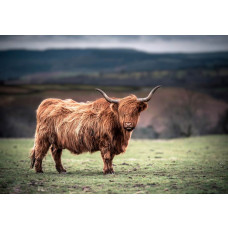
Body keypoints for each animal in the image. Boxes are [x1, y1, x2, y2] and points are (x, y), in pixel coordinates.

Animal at [30, 86, 160, 174]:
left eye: (135, 110)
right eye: (121, 111)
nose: (128, 124)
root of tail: (48, 102)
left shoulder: (113, 143)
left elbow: (111, 157)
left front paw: (110, 170)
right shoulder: (105, 142)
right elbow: (106, 156)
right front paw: (108, 171)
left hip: (58, 139)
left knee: (55, 152)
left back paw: (61, 170)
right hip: (43, 137)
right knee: (40, 151)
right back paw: (39, 170)